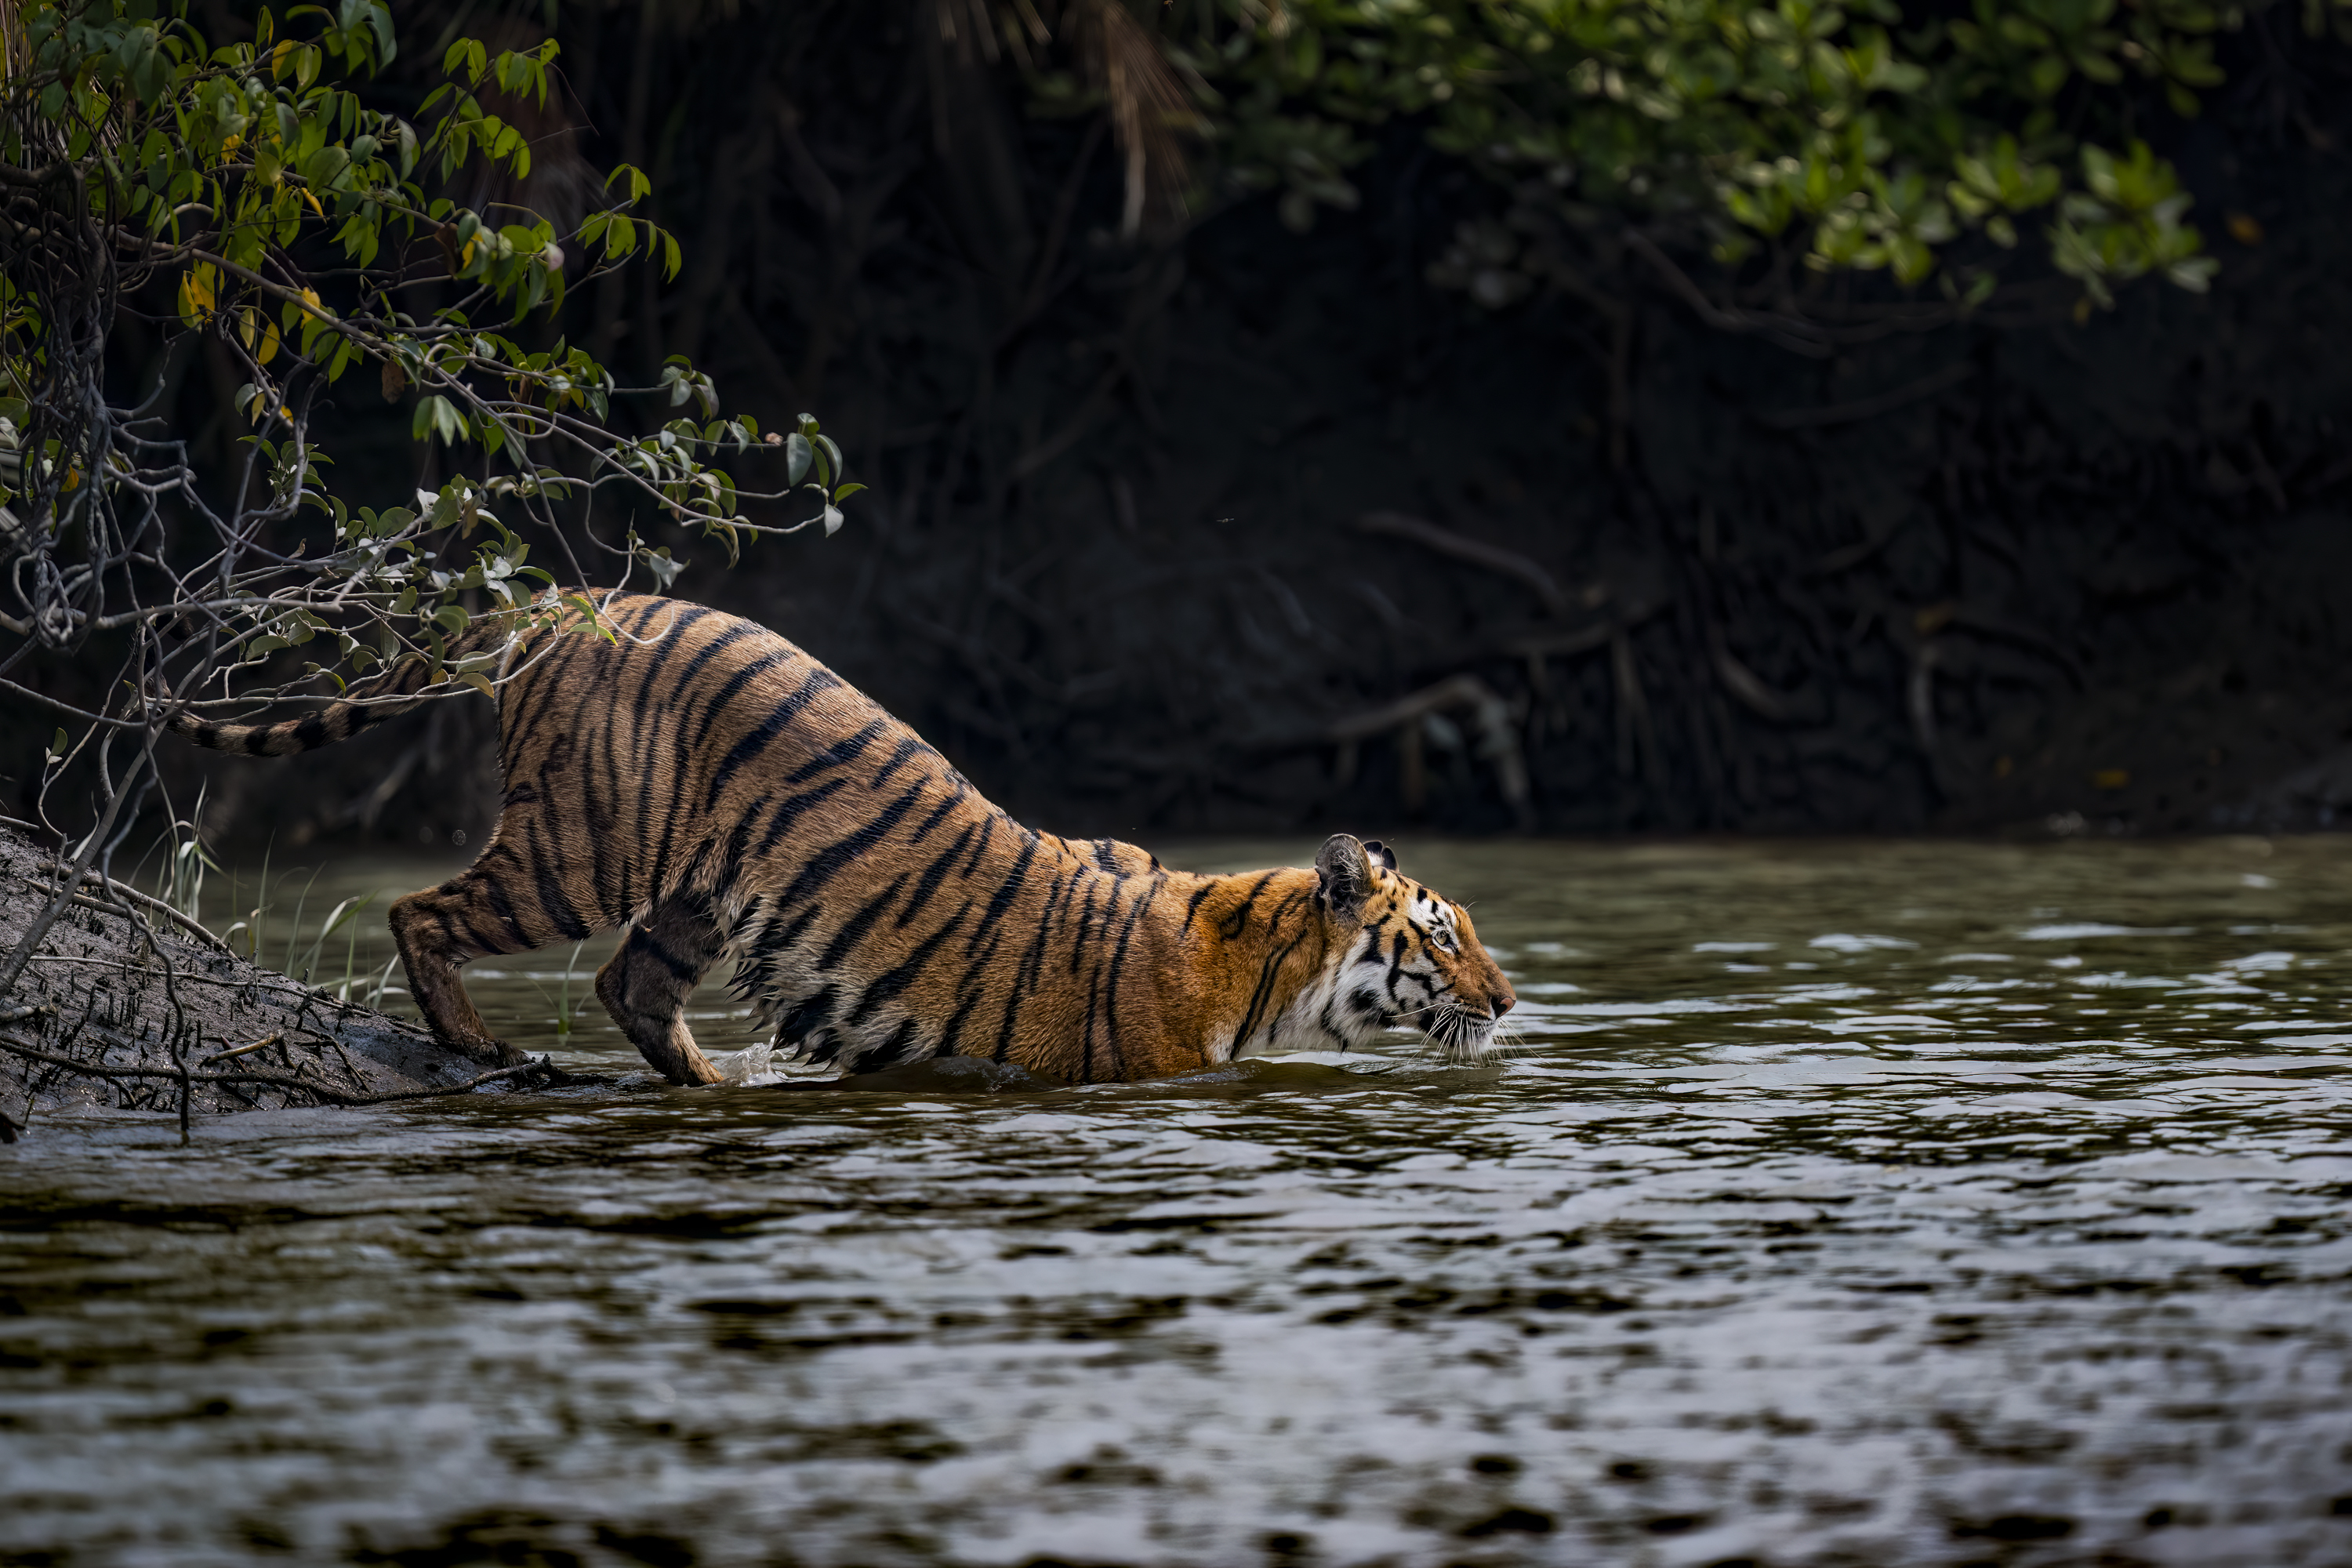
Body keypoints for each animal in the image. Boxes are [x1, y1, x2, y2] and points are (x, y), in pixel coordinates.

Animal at [170, 583, 1524, 1086]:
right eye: (1445, 940)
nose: (1514, 1003)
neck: (1272, 972)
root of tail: (572, 594)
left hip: (693, 892)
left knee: (626, 987)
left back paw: (712, 1085)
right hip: (580, 849)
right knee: (422, 909)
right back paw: (473, 1043)